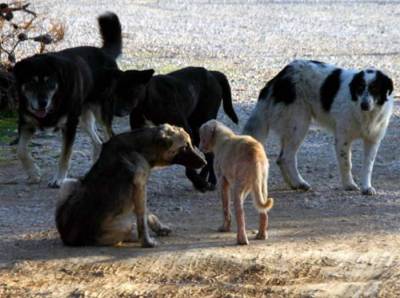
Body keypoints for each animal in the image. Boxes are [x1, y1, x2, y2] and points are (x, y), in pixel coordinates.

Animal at [12, 12, 153, 189]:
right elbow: (21, 150)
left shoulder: (69, 125)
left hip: (100, 113)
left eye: (50, 82)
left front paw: (59, 179)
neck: (55, 102)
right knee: (98, 143)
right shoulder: (26, 123)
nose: (42, 103)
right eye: (31, 82)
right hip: (84, 117)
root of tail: (104, 53)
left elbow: (65, 155)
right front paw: (33, 173)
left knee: (109, 137)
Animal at [55, 123, 206, 247]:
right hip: (124, 225)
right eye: (184, 147)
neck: (141, 146)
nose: (205, 162)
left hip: (69, 183)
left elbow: (147, 214)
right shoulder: (140, 186)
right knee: (127, 232)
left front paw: (159, 228)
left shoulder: (139, 189)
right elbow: (142, 218)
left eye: (190, 144)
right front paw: (147, 242)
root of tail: (72, 239)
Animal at [244, 60, 394, 196]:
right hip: (299, 124)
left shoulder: (373, 140)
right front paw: (349, 185)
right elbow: (346, 164)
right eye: (360, 88)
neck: (366, 114)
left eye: (375, 88)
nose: (364, 105)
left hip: (291, 128)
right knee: (287, 157)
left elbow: (368, 166)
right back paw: (300, 182)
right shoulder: (343, 139)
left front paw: (366, 187)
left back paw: (293, 184)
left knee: (280, 159)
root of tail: (279, 77)